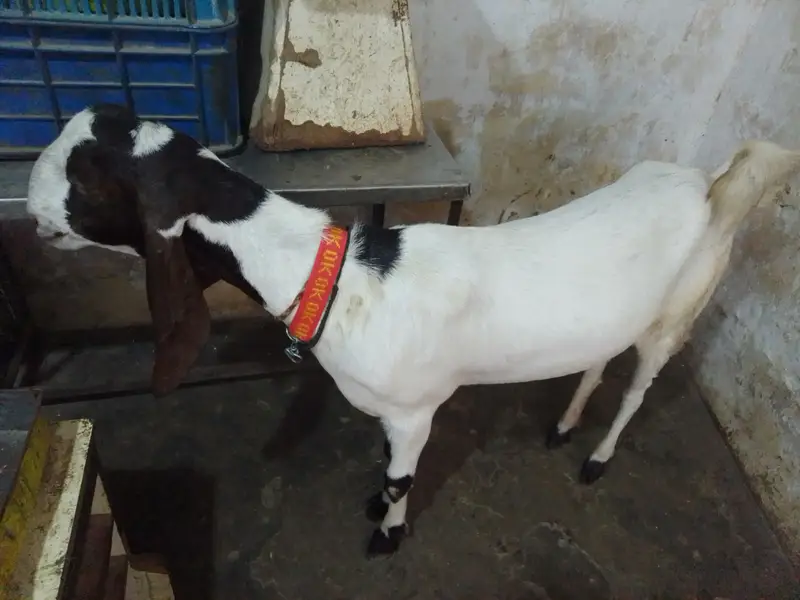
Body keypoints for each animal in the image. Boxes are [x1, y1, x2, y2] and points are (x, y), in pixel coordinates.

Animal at [26, 104, 800, 557]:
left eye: (89, 181)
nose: (31, 207)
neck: (339, 281)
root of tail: (707, 186)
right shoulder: (391, 410)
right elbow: (385, 469)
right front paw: (376, 506)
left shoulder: (415, 410)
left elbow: (401, 480)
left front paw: (385, 534)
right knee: (595, 364)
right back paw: (563, 425)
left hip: (675, 318)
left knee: (638, 388)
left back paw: (597, 458)